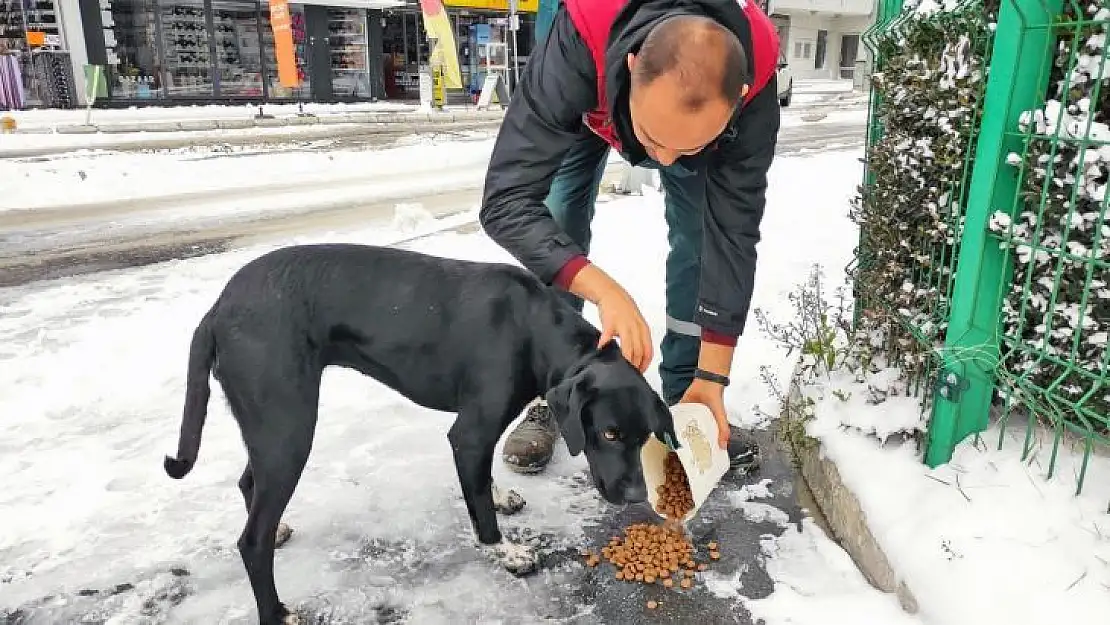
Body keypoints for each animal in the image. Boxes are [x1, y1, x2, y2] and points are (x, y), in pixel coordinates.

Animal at [160, 244, 670, 625]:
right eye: (608, 433)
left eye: (645, 436)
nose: (636, 496)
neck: (532, 328)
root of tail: (218, 308)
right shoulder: (469, 433)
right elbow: (482, 513)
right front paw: (505, 552)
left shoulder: (479, 435)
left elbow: (483, 482)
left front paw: (499, 495)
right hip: (289, 426)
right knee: (251, 540)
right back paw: (276, 612)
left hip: (271, 426)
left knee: (250, 486)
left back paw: (279, 529)